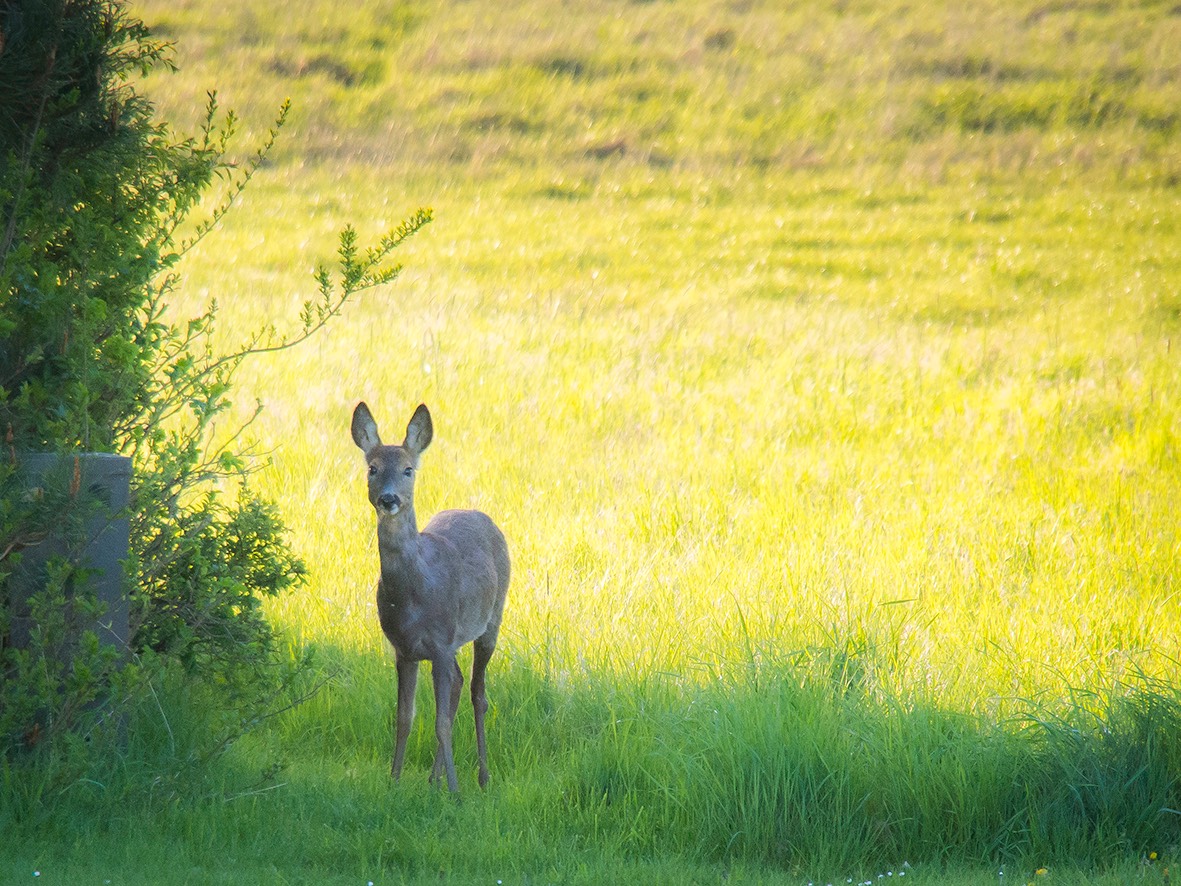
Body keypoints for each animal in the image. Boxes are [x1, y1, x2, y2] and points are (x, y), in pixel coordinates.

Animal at [354, 399, 512, 793]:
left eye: (408, 469)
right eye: (372, 468)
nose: (389, 498)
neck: (413, 595)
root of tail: (481, 515)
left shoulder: (440, 642)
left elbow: (440, 722)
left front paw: (455, 793)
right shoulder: (404, 649)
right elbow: (404, 718)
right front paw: (394, 782)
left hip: (491, 619)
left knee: (477, 694)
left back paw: (481, 777)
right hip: (453, 644)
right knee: (458, 685)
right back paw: (433, 778)